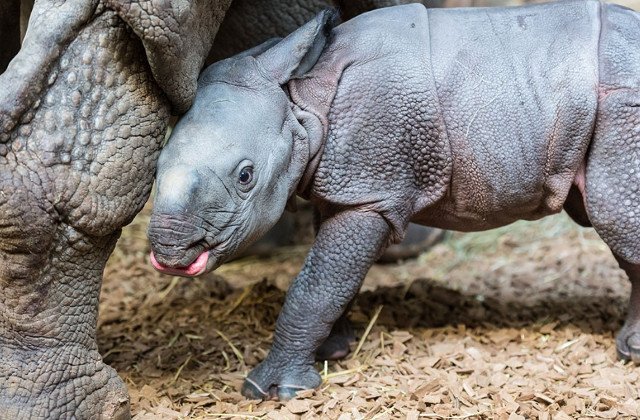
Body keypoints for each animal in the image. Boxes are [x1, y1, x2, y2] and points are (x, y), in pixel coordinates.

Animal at [148, 0, 640, 400]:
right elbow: (333, 277)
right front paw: (334, 350)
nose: (170, 255)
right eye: (155, 167)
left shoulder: (372, 190)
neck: (302, 100)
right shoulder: (350, 188)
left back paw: (629, 353)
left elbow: (316, 285)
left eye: (246, 176)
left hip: (623, 109)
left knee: (617, 220)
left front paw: (273, 390)